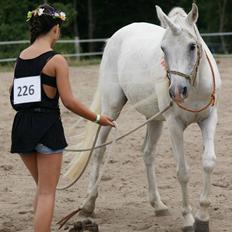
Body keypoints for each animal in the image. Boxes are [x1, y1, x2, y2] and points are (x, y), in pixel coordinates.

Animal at [65, 3, 221, 232]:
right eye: (163, 48)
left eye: (192, 46)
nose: (177, 91)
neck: (194, 86)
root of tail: (117, 36)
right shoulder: (174, 125)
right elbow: (183, 172)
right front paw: (188, 219)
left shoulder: (209, 119)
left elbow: (209, 162)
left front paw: (202, 217)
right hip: (111, 109)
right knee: (99, 150)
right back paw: (88, 204)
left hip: (154, 119)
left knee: (147, 153)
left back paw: (158, 205)